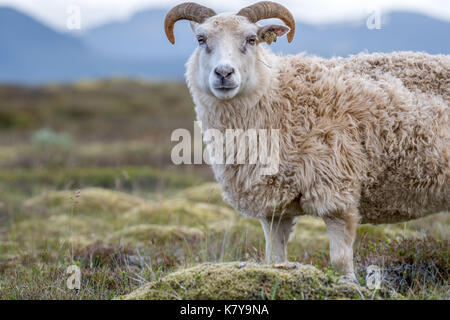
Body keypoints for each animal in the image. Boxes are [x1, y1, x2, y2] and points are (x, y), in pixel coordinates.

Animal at [164, 1, 450, 278]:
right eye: (201, 39)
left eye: (252, 39)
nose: (224, 73)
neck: (281, 99)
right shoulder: (273, 208)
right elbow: (274, 260)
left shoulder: (337, 194)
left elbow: (340, 263)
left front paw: (348, 286)